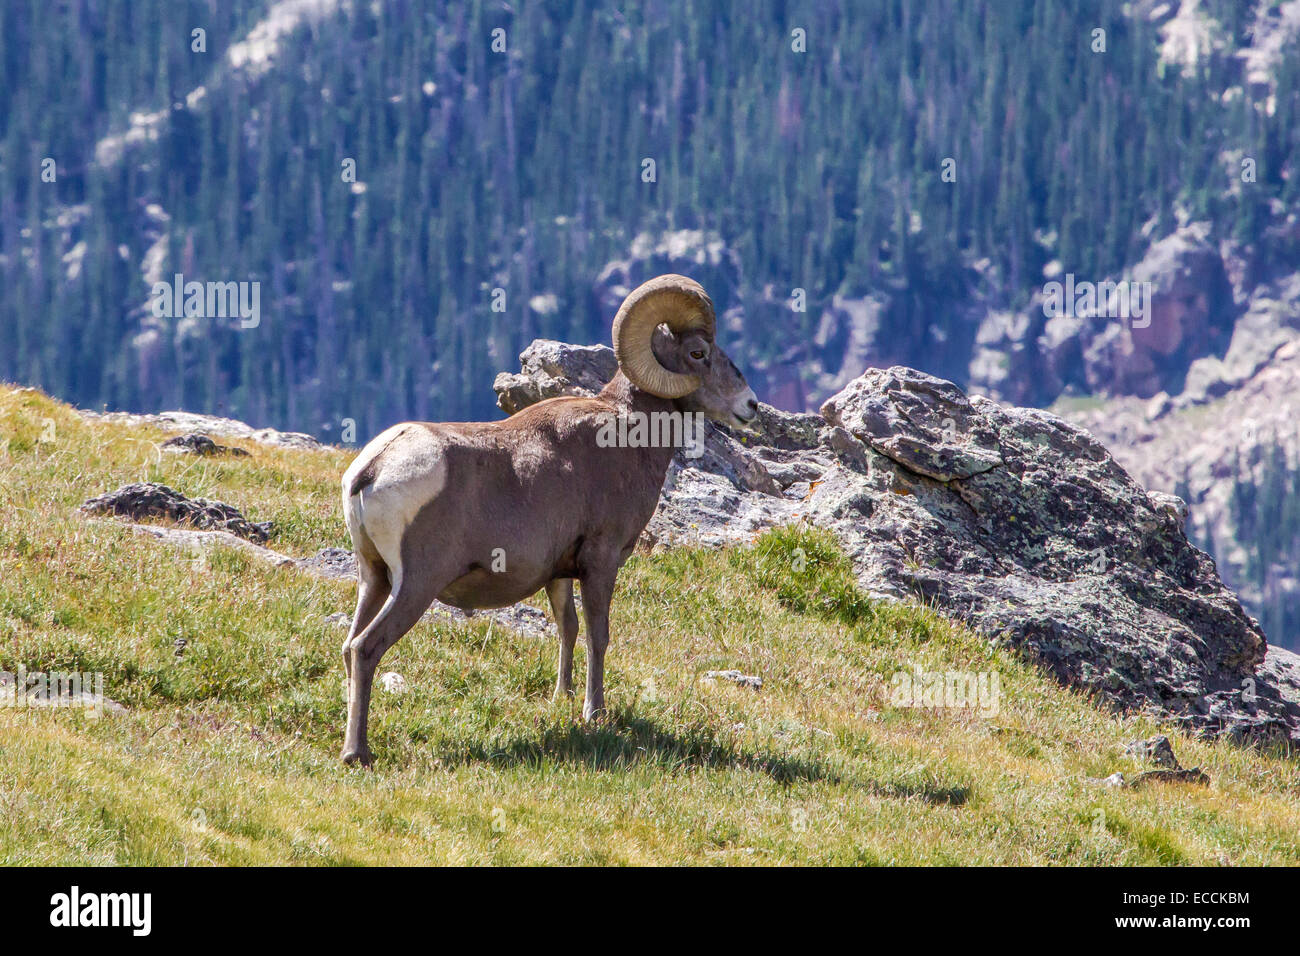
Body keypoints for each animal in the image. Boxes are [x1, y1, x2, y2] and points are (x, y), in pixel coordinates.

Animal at [340, 274, 759, 764]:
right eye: (697, 353)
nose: (750, 406)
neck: (627, 435)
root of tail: (373, 468)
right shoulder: (600, 561)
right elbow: (598, 633)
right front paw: (594, 712)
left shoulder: (559, 571)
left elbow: (567, 627)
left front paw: (563, 695)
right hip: (416, 585)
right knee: (366, 648)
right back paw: (357, 754)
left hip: (373, 577)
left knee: (349, 647)